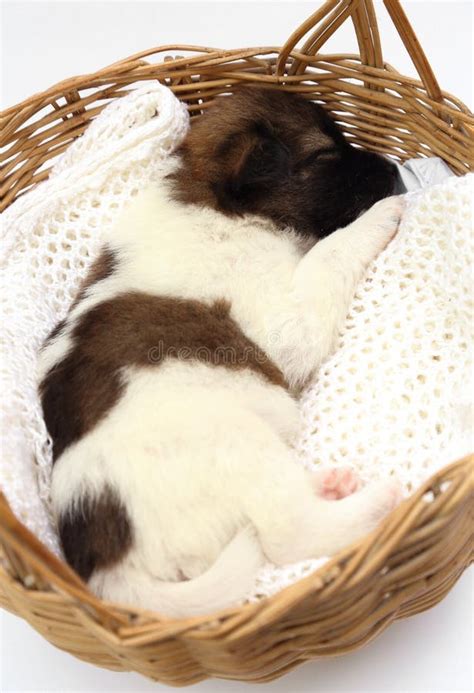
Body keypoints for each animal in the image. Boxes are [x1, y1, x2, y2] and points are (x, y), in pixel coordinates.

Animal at [39, 86, 404, 616]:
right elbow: (331, 250)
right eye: (324, 155)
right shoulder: (287, 325)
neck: (215, 199)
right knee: (289, 530)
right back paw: (381, 498)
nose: (396, 169)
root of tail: (113, 569)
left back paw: (329, 485)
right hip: (240, 445)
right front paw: (385, 213)